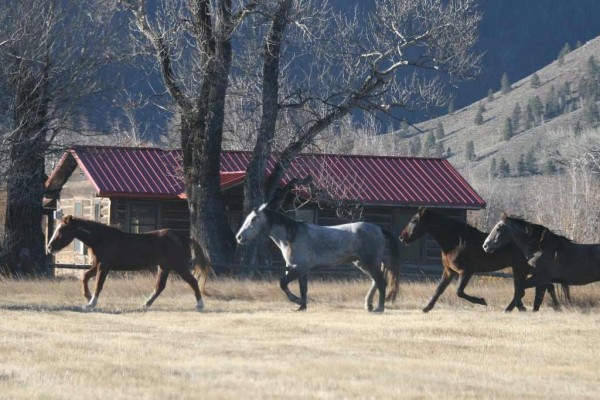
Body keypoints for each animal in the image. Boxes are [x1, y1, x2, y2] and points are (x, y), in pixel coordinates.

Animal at [45, 214, 209, 310]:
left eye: (61, 230)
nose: (49, 247)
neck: (101, 239)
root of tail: (183, 238)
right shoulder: (98, 265)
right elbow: (85, 277)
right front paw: (87, 296)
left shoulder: (104, 266)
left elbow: (98, 284)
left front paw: (91, 303)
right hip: (164, 267)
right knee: (159, 287)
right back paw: (145, 305)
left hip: (179, 266)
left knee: (193, 281)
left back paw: (200, 305)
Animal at [237, 205, 400, 310]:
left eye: (253, 219)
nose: (239, 237)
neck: (294, 236)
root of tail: (379, 228)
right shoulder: (298, 269)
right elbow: (303, 288)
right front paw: (302, 306)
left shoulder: (298, 268)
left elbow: (283, 283)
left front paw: (296, 301)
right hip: (362, 264)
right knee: (375, 281)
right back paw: (368, 305)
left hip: (370, 263)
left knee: (381, 282)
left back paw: (379, 308)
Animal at [398, 208, 556, 314]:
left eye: (414, 220)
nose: (401, 237)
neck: (455, 242)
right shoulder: (449, 271)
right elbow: (439, 289)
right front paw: (426, 308)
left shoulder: (466, 271)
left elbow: (459, 292)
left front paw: (482, 301)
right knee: (542, 286)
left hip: (520, 269)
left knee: (527, 288)